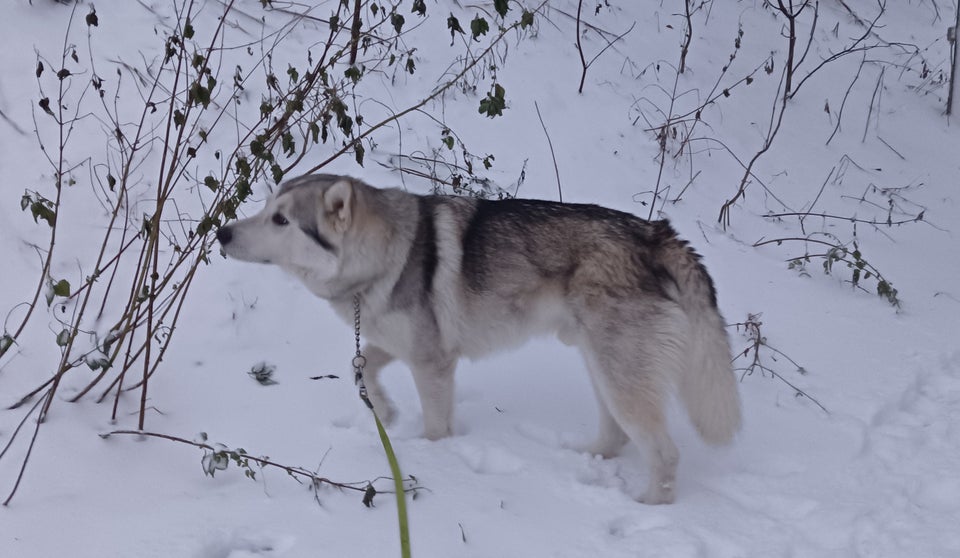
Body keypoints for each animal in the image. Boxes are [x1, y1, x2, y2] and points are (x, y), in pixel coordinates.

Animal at [218, 175, 744, 508]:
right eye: (266, 209)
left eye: (282, 220)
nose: (221, 232)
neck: (385, 256)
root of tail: (659, 235)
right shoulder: (400, 344)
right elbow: (359, 364)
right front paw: (385, 412)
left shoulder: (431, 362)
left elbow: (434, 427)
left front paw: (429, 454)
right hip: (602, 365)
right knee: (615, 434)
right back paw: (585, 457)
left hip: (620, 373)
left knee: (664, 453)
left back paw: (648, 507)